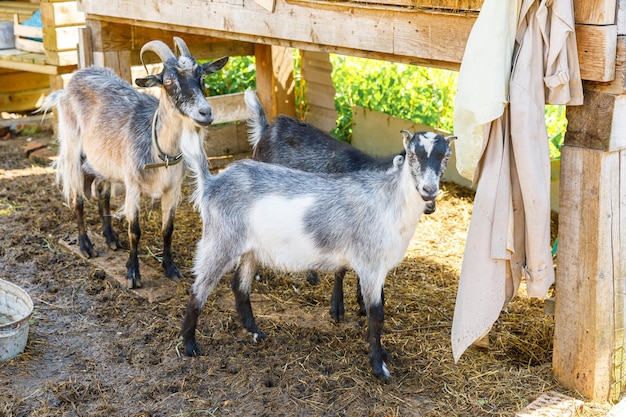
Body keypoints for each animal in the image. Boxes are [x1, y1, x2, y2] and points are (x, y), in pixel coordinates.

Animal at [37, 37, 227, 288]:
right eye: (168, 81)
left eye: (202, 77)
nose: (205, 113)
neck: (160, 150)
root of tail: (70, 83)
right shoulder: (133, 186)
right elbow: (134, 230)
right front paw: (133, 274)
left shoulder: (173, 189)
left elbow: (168, 229)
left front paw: (171, 268)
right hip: (73, 148)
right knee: (77, 199)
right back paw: (86, 246)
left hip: (103, 161)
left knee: (102, 193)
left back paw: (110, 238)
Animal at [178, 125, 450, 378]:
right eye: (412, 155)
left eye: (446, 156)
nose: (428, 190)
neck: (389, 202)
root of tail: (211, 183)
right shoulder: (370, 264)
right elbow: (376, 315)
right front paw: (379, 367)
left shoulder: (378, 267)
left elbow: (379, 307)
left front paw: (383, 354)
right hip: (221, 239)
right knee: (198, 289)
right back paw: (190, 345)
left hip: (251, 248)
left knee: (239, 286)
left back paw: (255, 333)